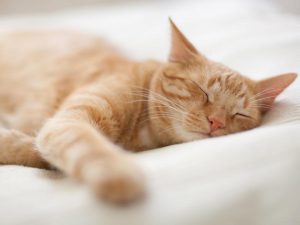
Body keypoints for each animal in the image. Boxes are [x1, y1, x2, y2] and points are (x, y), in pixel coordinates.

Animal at [0, 19, 296, 202]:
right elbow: (82, 144)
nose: (216, 122)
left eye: (239, 114)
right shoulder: (67, 122)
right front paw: (116, 171)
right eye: (203, 91)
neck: (141, 135)